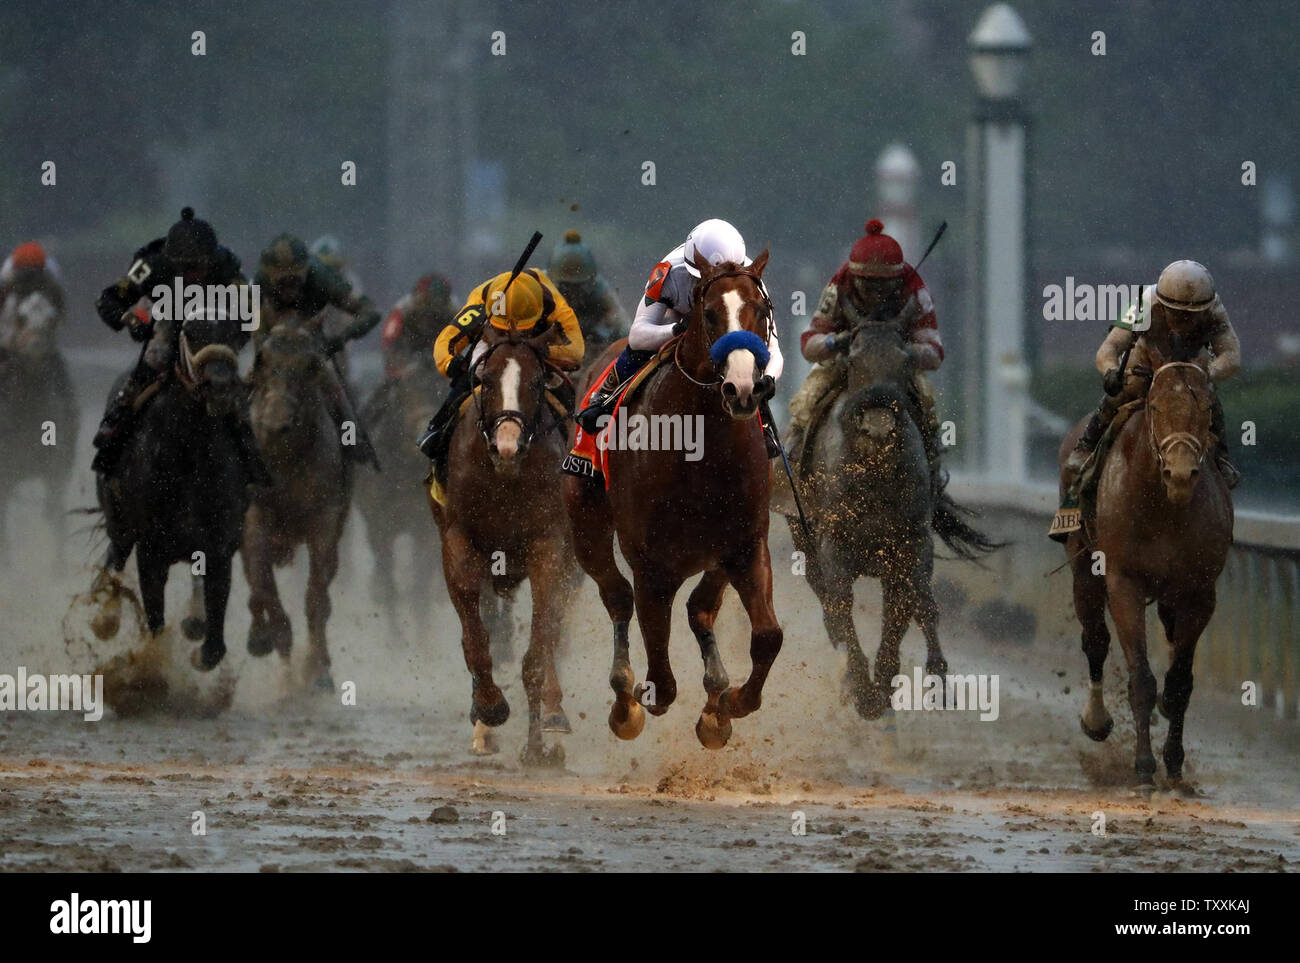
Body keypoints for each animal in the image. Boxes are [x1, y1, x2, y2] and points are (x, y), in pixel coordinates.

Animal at [243, 319, 351, 686]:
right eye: (260, 359)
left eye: (312, 365)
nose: (276, 424)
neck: (284, 463)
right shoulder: (254, 515)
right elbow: (263, 585)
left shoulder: (325, 516)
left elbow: (317, 596)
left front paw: (317, 671)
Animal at [428, 323, 577, 764]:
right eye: (487, 379)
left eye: (536, 381)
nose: (507, 444)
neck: (505, 478)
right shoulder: (459, 542)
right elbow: (476, 639)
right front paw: (489, 708)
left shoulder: (549, 546)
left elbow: (539, 649)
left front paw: (538, 747)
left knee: (552, 630)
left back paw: (554, 714)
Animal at [561, 252, 780, 748]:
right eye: (710, 314)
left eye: (762, 311)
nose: (743, 389)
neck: (700, 451)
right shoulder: (651, 564)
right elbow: (660, 674)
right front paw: (638, 704)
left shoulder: (746, 544)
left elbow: (767, 637)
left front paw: (731, 703)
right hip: (585, 522)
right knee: (618, 596)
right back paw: (625, 702)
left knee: (700, 609)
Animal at [1055, 343, 1227, 784]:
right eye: (1155, 406)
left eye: (1207, 408)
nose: (1181, 473)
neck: (1164, 507)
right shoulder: (1124, 581)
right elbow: (1142, 679)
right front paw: (1144, 768)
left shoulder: (1199, 591)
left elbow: (1179, 681)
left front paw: (1174, 764)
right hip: (1083, 564)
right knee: (1095, 639)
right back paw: (1096, 720)